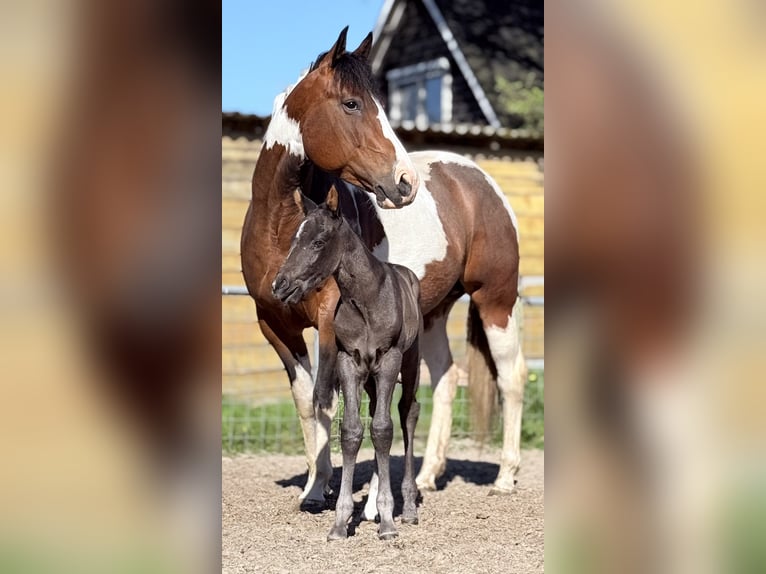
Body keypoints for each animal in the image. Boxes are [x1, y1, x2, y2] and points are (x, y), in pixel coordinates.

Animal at [273, 184, 422, 540]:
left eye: (318, 241)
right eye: (294, 239)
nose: (279, 285)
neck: (366, 301)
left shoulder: (389, 360)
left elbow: (383, 429)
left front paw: (387, 522)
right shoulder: (348, 363)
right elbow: (352, 431)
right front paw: (341, 522)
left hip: (409, 361)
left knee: (408, 413)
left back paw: (408, 508)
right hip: (370, 379)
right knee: (378, 412)